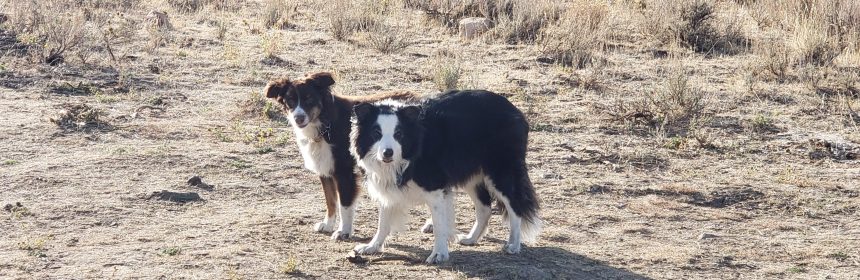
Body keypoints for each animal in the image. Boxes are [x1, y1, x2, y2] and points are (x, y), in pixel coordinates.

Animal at [266, 71, 420, 238]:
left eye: (309, 98)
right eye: (290, 100)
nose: (298, 118)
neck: (325, 123)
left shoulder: (344, 171)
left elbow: (344, 204)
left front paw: (343, 231)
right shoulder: (325, 168)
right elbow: (330, 201)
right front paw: (328, 225)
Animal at [348, 89, 536, 262]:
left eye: (398, 134)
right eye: (376, 133)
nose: (388, 153)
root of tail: (515, 111)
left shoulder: (435, 187)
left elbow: (439, 224)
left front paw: (439, 255)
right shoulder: (389, 185)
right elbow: (383, 221)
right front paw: (371, 247)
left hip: (501, 170)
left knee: (515, 205)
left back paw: (514, 245)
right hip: (472, 175)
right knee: (484, 207)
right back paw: (471, 238)